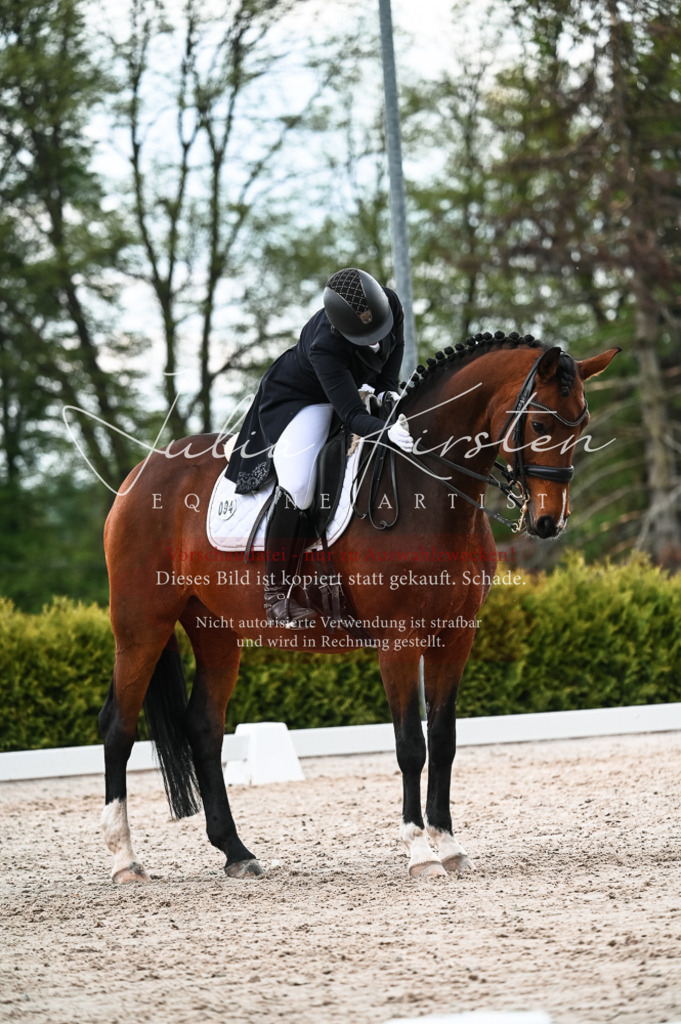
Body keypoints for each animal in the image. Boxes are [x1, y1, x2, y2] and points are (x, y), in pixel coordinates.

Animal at [99, 332, 619, 881]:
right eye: (539, 424)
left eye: (583, 423)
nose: (548, 522)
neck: (429, 488)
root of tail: (142, 471)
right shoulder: (399, 641)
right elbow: (411, 744)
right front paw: (419, 853)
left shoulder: (456, 637)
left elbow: (444, 739)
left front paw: (448, 845)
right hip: (141, 624)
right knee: (119, 727)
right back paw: (126, 861)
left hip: (216, 630)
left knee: (203, 726)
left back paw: (236, 852)